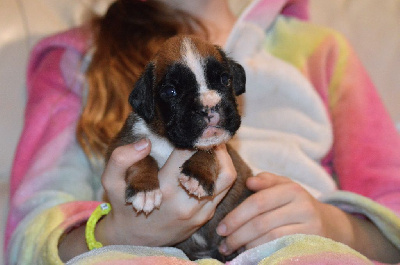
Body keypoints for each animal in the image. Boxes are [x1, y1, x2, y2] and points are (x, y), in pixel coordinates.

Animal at [108, 35, 253, 260]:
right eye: (170, 91)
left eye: (224, 79)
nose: (209, 106)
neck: (170, 143)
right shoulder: (123, 144)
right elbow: (143, 157)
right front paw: (145, 189)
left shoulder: (219, 146)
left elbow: (207, 151)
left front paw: (198, 176)